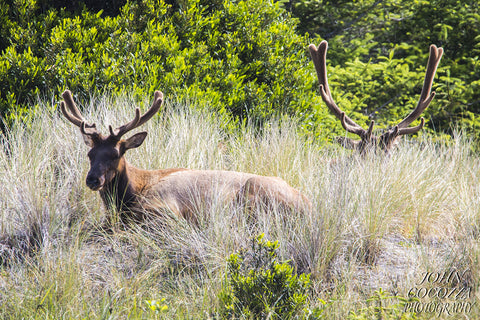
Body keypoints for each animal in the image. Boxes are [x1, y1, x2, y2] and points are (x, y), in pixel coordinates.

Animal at [61, 90, 312, 225]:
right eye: (90, 154)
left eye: (115, 154)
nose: (93, 179)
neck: (133, 191)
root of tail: (307, 205)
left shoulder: (166, 208)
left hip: (255, 197)